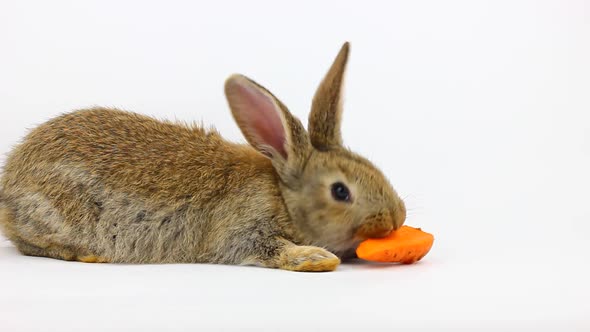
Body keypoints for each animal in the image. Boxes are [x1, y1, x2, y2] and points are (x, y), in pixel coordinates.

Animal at [0, 42, 408, 272]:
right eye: (340, 191)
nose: (396, 218)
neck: (282, 197)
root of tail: (8, 188)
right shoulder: (242, 231)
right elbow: (266, 248)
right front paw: (316, 259)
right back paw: (90, 256)